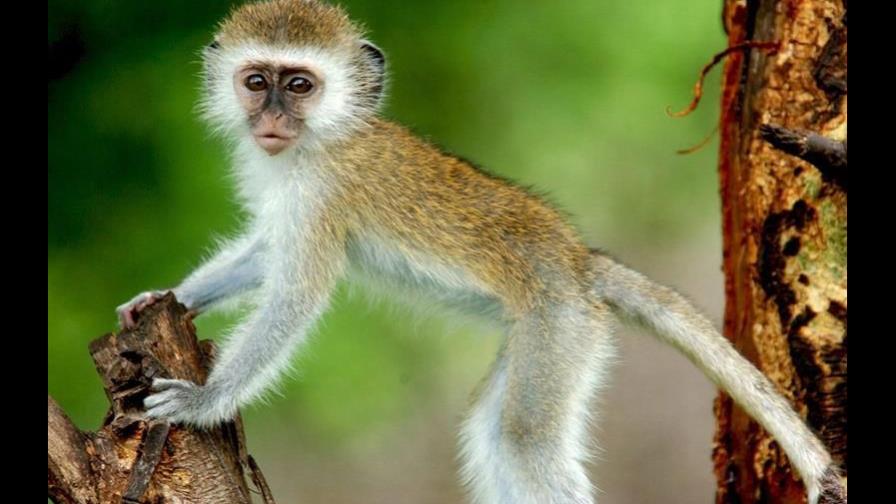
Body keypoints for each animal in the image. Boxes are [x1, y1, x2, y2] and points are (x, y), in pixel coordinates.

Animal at [115, 1, 844, 503]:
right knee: (497, 435)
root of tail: (578, 261)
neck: (318, 140)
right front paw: (168, 298)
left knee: (524, 444)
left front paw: (206, 400)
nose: (270, 118)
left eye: (299, 85)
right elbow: (266, 254)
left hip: (559, 325)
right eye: (255, 80)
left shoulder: (323, 197)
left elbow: (295, 296)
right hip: (549, 338)